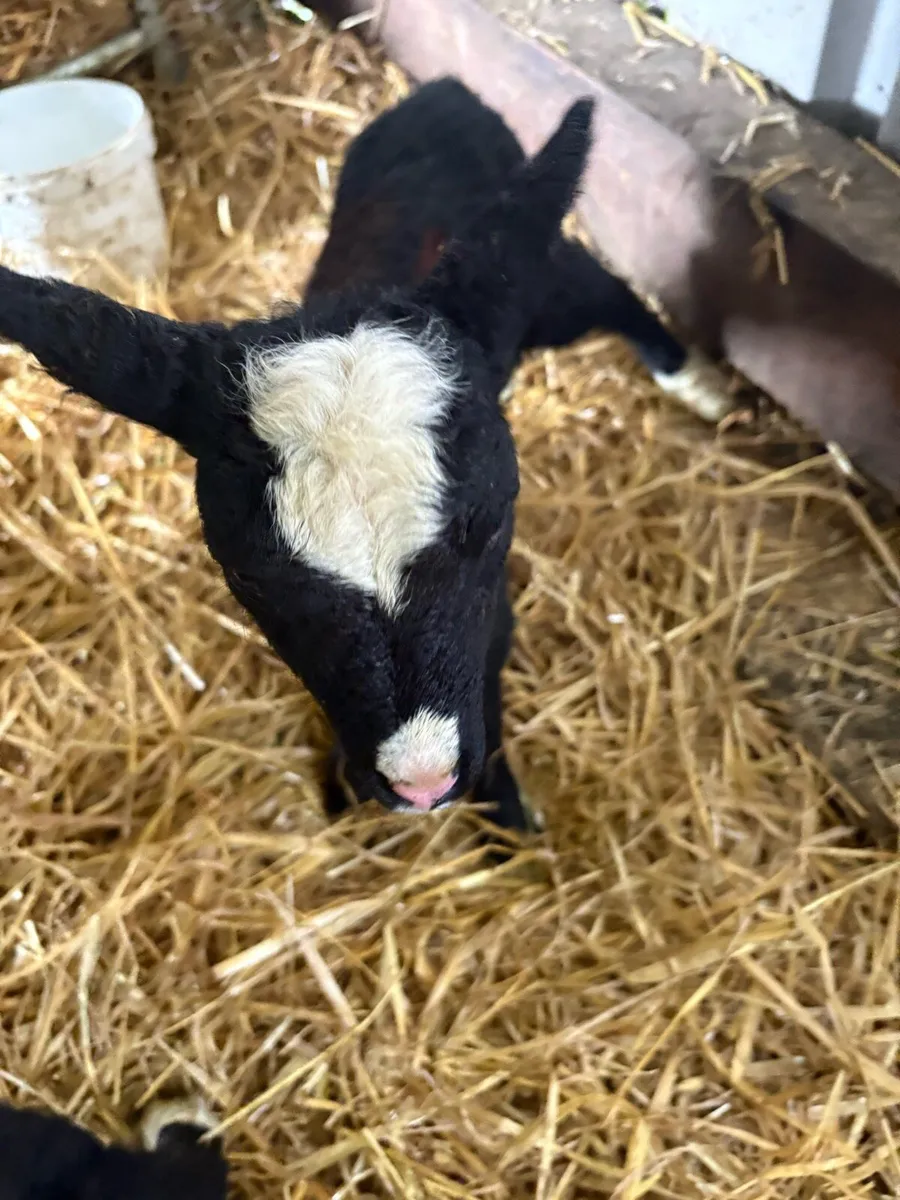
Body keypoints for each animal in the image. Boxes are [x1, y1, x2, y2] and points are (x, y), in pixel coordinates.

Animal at [0, 80, 730, 834]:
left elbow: (494, 655)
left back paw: (693, 379)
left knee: (597, 288)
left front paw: (503, 807)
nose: (423, 783)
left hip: (533, 279)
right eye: (249, 574)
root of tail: (442, 90)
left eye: (495, 523)